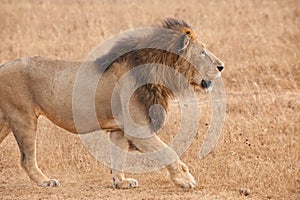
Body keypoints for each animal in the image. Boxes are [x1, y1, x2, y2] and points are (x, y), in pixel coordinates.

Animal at [0, 18, 221, 188]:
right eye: (202, 52)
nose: (222, 66)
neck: (157, 72)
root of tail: (3, 66)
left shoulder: (120, 129)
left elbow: (118, 156)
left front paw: (121, 182)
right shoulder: (137, 129)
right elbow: (168, 152)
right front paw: (185, 180)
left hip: (6, 120)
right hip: (22, 116)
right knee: (26, 159)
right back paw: (45, 181)